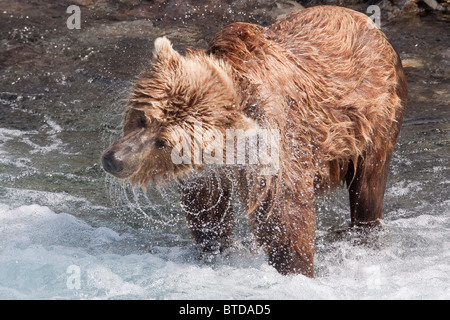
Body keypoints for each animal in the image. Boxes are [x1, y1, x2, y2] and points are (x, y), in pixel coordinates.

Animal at [103, 6, 408, 278]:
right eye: (143, 118)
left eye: (164, 143)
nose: (115, 160)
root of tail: (368, 24)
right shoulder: (208, 172)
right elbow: (208, 208)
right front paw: (216, 250)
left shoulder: (276, 142)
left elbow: (284, 214)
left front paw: (296, 269)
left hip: (375, 120)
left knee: (368, 186)